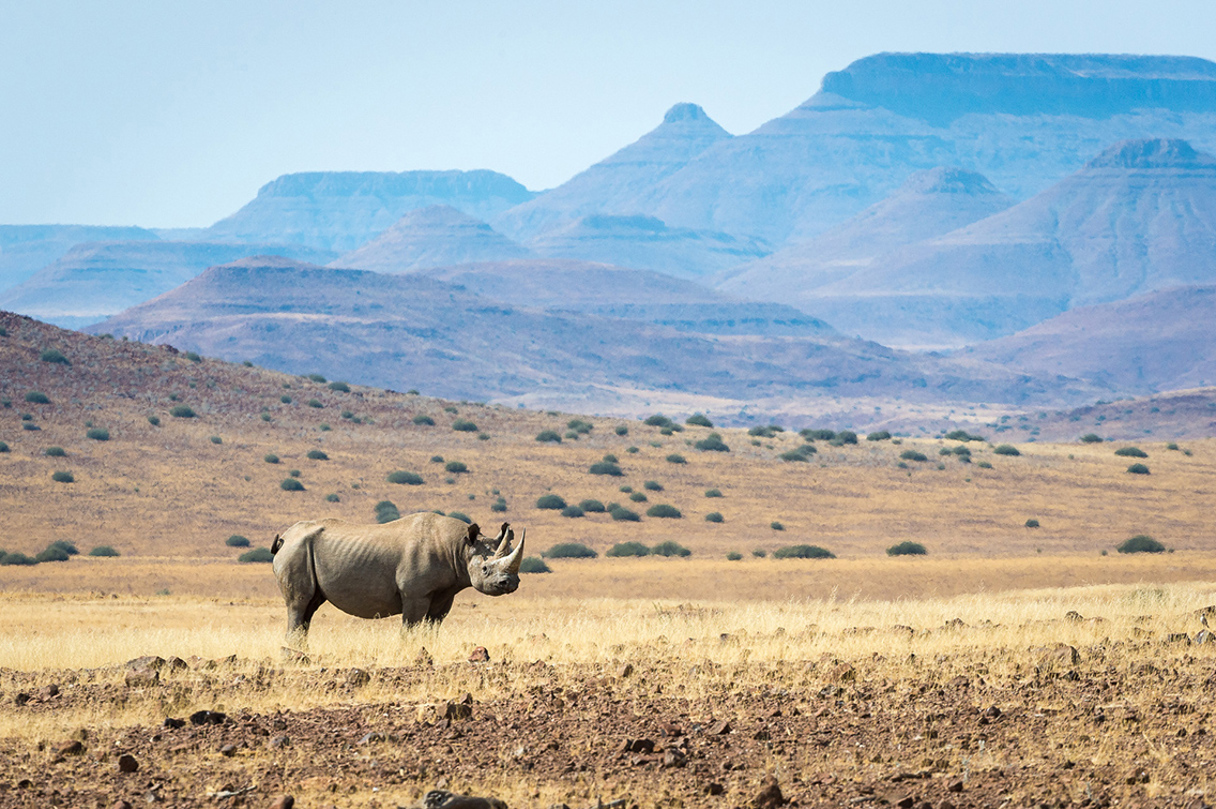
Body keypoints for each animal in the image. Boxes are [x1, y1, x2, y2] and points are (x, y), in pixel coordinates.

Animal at [270, 512, 524, 644]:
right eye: (485, 569)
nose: (510, 584)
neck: (460, 547)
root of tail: (285, 538)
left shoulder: (445, 592)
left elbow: (432, 627)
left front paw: (428, 650)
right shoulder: (414, 593)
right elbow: (410, 628)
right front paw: (411, 653)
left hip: (302, 551)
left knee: (310, 606)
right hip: (296, 550)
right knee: (299, 603)